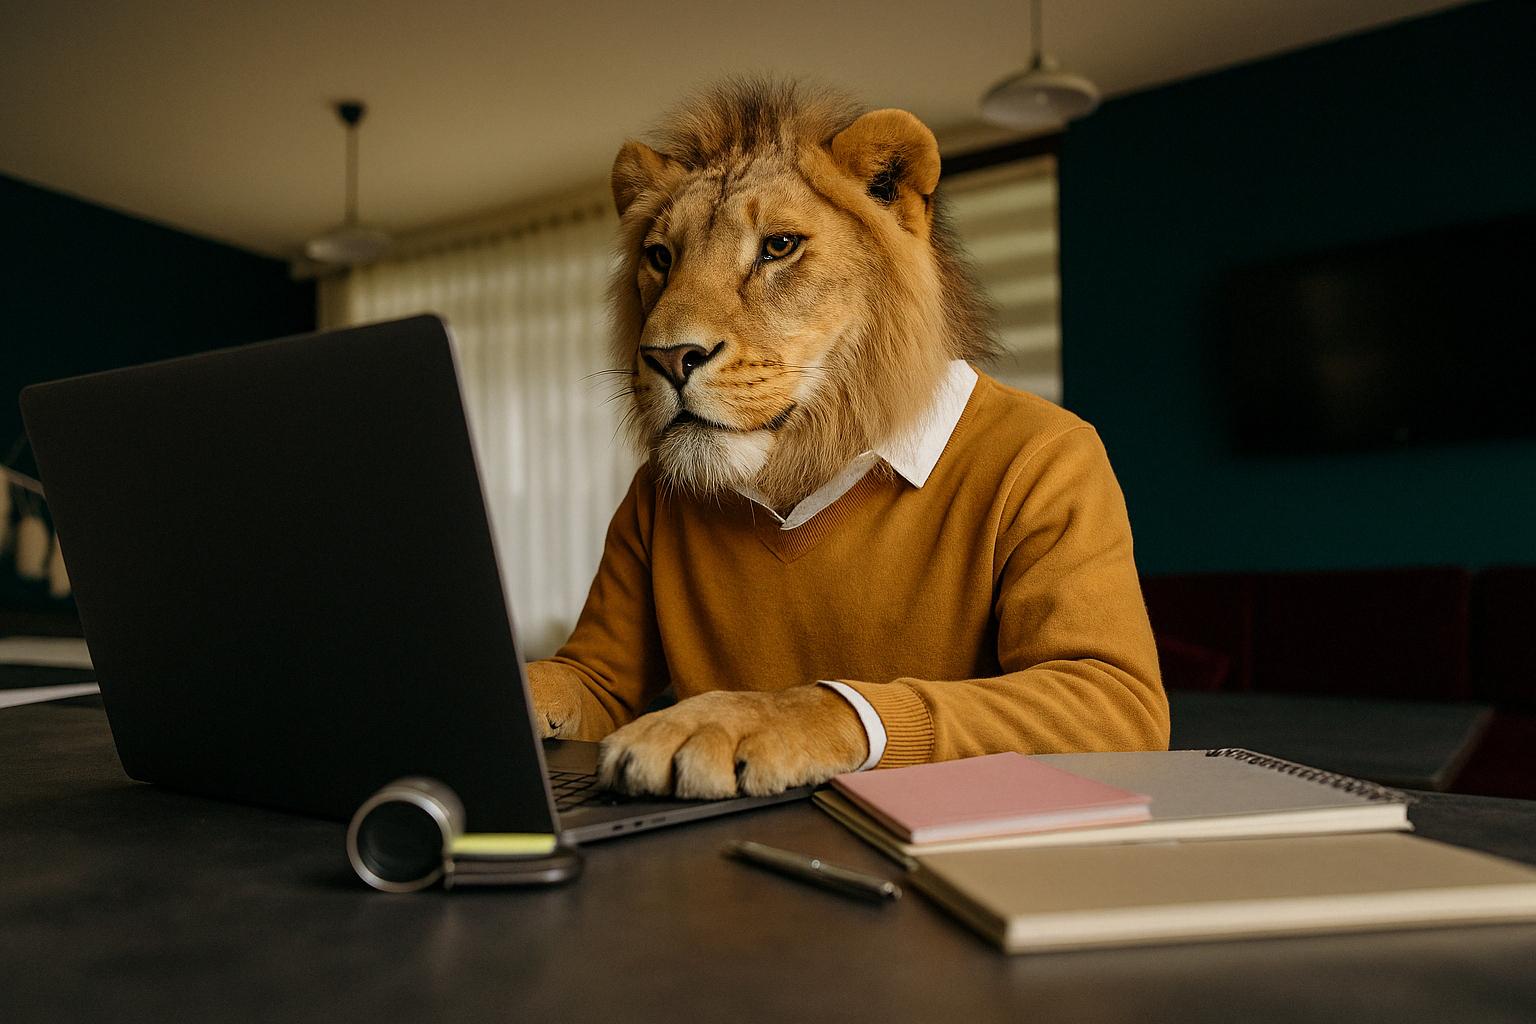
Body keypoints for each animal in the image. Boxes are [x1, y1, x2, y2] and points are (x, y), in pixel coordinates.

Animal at [526, 79, 1168, 799]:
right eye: (660, 257)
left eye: (778, 246)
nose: (668, 357)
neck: (808, 455)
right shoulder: (597, 660)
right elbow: (573, 676)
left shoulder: (1100, 670)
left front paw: (717, 720)